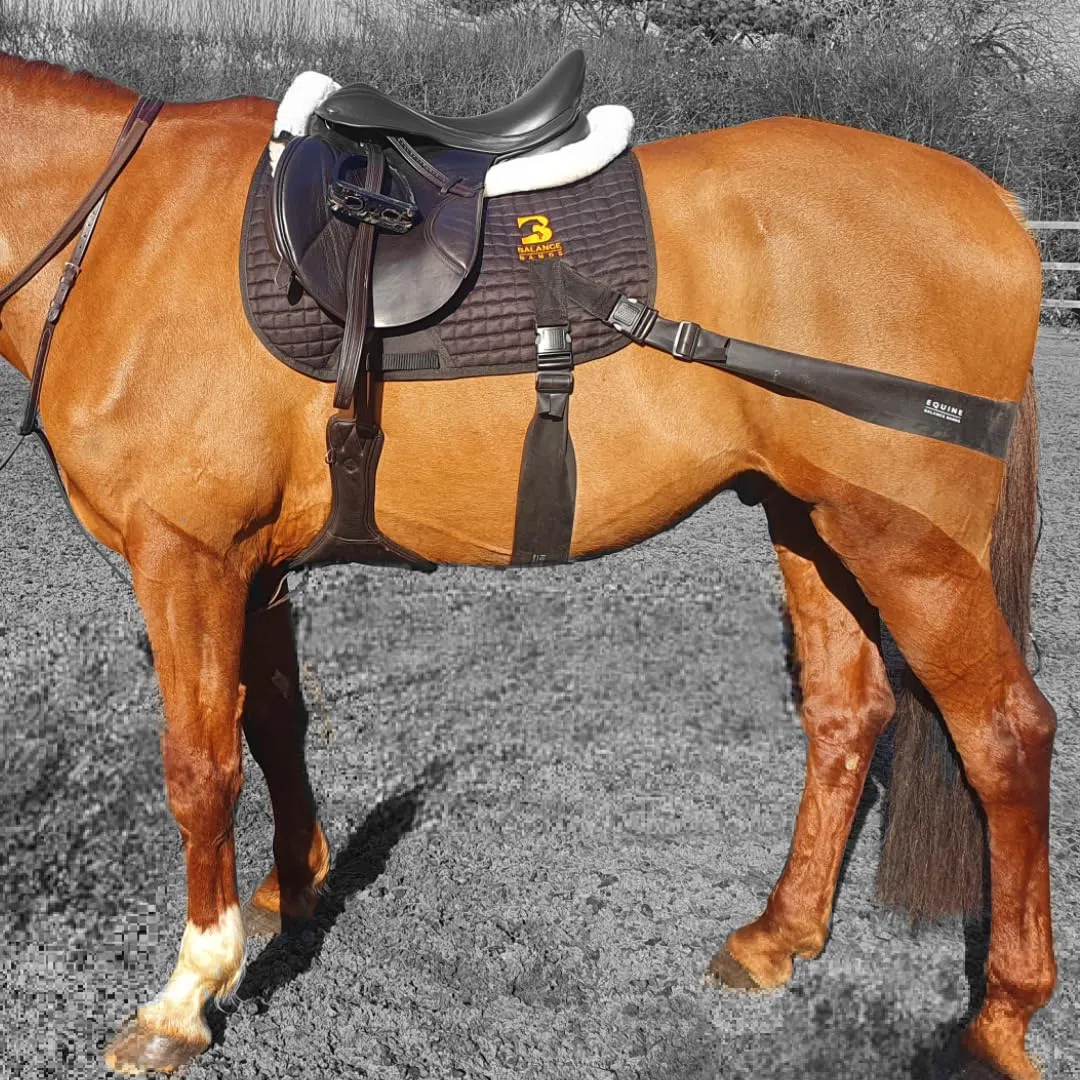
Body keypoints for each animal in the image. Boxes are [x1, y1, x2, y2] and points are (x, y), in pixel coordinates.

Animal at [0, 54, 1055, 1079]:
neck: (126, 230)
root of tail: (996, 205)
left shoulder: (188, 556)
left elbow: (200, 767)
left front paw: (185, 996)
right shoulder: (251, 566)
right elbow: (272, 723)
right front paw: (294, 884)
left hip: (910, 548)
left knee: (1006, 739)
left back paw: (1000, 1021)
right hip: (814, 522)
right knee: (847, 714)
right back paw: (778, 935)